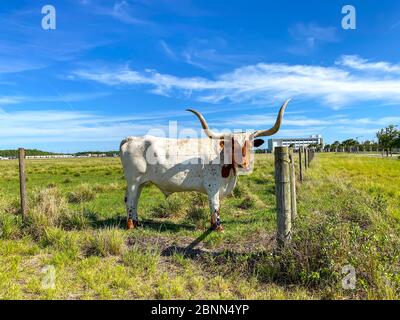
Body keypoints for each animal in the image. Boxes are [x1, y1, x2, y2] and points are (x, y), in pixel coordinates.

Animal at [119, 99, 290, 231]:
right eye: (230, 144)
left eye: (250, 145)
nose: (243, 163)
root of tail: (131, 138)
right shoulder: (212, 187)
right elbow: (215, 205)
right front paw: (218, 227)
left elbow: (214, 206)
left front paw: (213, 225)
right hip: (133, 181)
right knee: (130, 200)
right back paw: (131, 225)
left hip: (141, 182)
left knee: (135, 200)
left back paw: (137, 222)